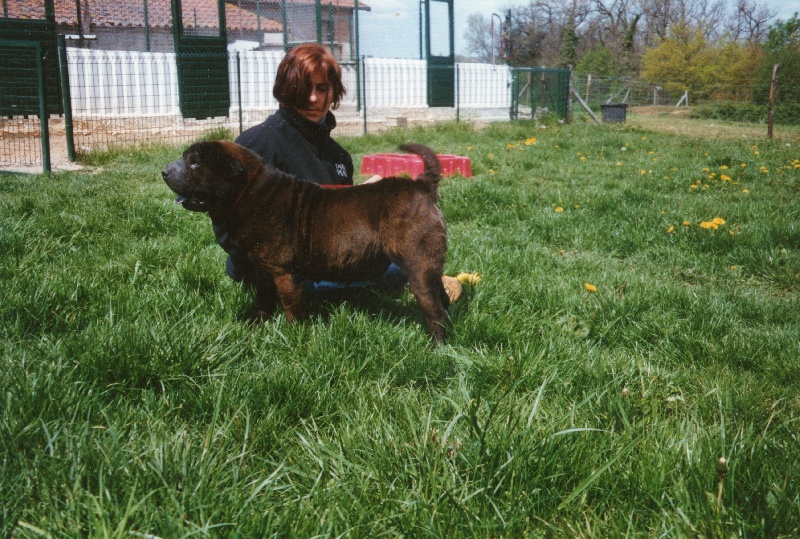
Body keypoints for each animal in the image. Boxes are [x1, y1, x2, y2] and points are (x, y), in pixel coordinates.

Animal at [162, 140, 450, 342]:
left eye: (195, 163)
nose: (164, 172)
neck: (248, 192)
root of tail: (422, 185)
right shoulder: (264, 273)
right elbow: (263, 301)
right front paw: (256, 325)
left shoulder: (285, 273)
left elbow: (290, 306)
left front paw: (293, 335)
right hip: (429, 268)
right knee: (442, 299)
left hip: (418, 265)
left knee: (433, 307)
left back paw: (435, 346)